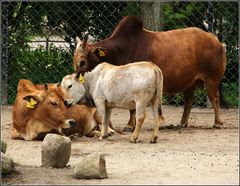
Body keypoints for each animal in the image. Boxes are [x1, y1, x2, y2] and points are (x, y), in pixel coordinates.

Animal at [73, 15, 227, 129]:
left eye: (83, 62)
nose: (76, 79)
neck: (120, 50)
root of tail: (216, 40)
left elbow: (133, 107)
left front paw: (130, 125)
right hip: (190, 82)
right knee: (189, 101)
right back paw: (183, 123)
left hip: (212, 80)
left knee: (215, 98)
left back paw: (218, 123)